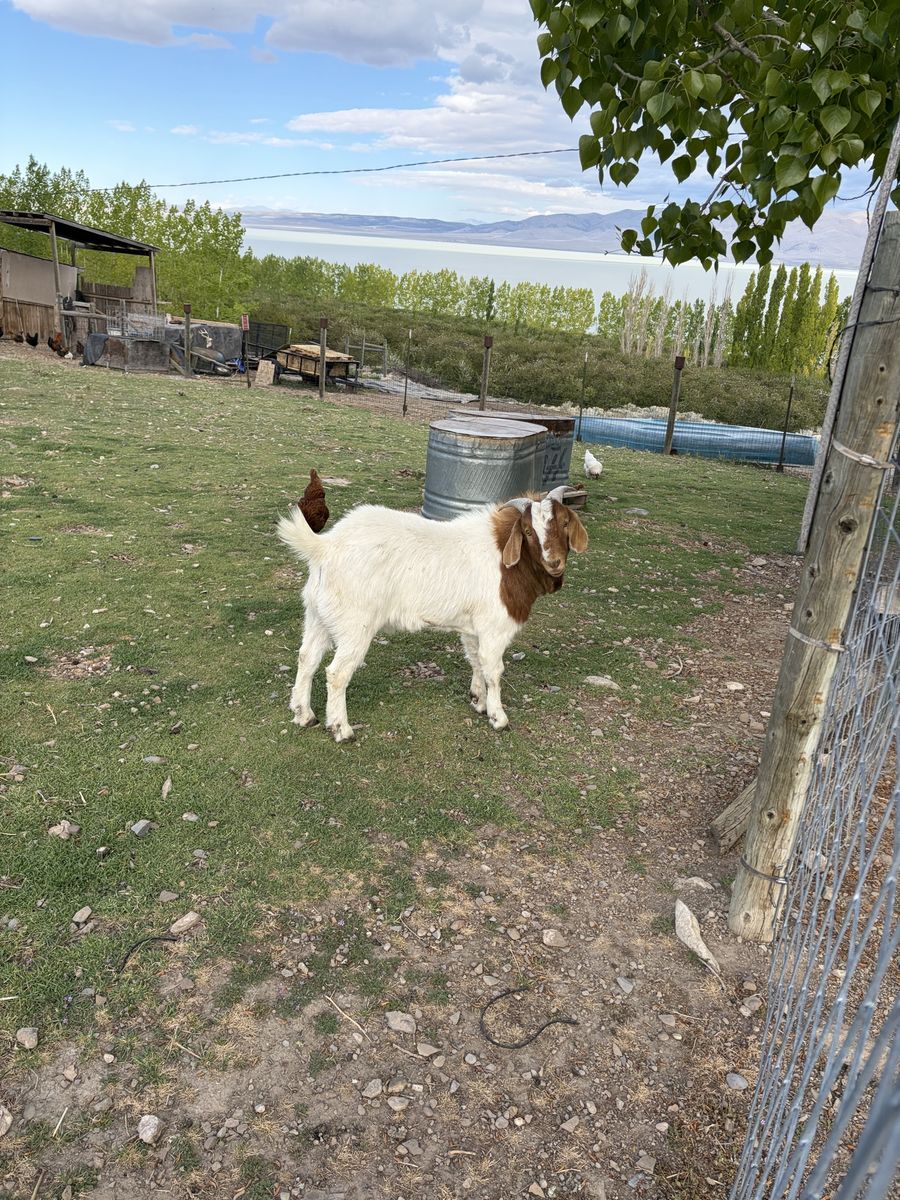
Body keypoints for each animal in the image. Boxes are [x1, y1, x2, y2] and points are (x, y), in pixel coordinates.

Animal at [276, 485, 588, 742]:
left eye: (564, 522)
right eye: (527, 531)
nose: (554, 562)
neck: (504, 556)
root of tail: (326, 546)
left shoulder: (472, 628)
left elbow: (476, 662)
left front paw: (478, 701)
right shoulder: (494, 627)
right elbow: (494, 670)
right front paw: (498, 717)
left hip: (318, 614)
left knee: (307, 658)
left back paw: (304, 714)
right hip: (355, 623)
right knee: (337, 673)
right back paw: (342, 729)